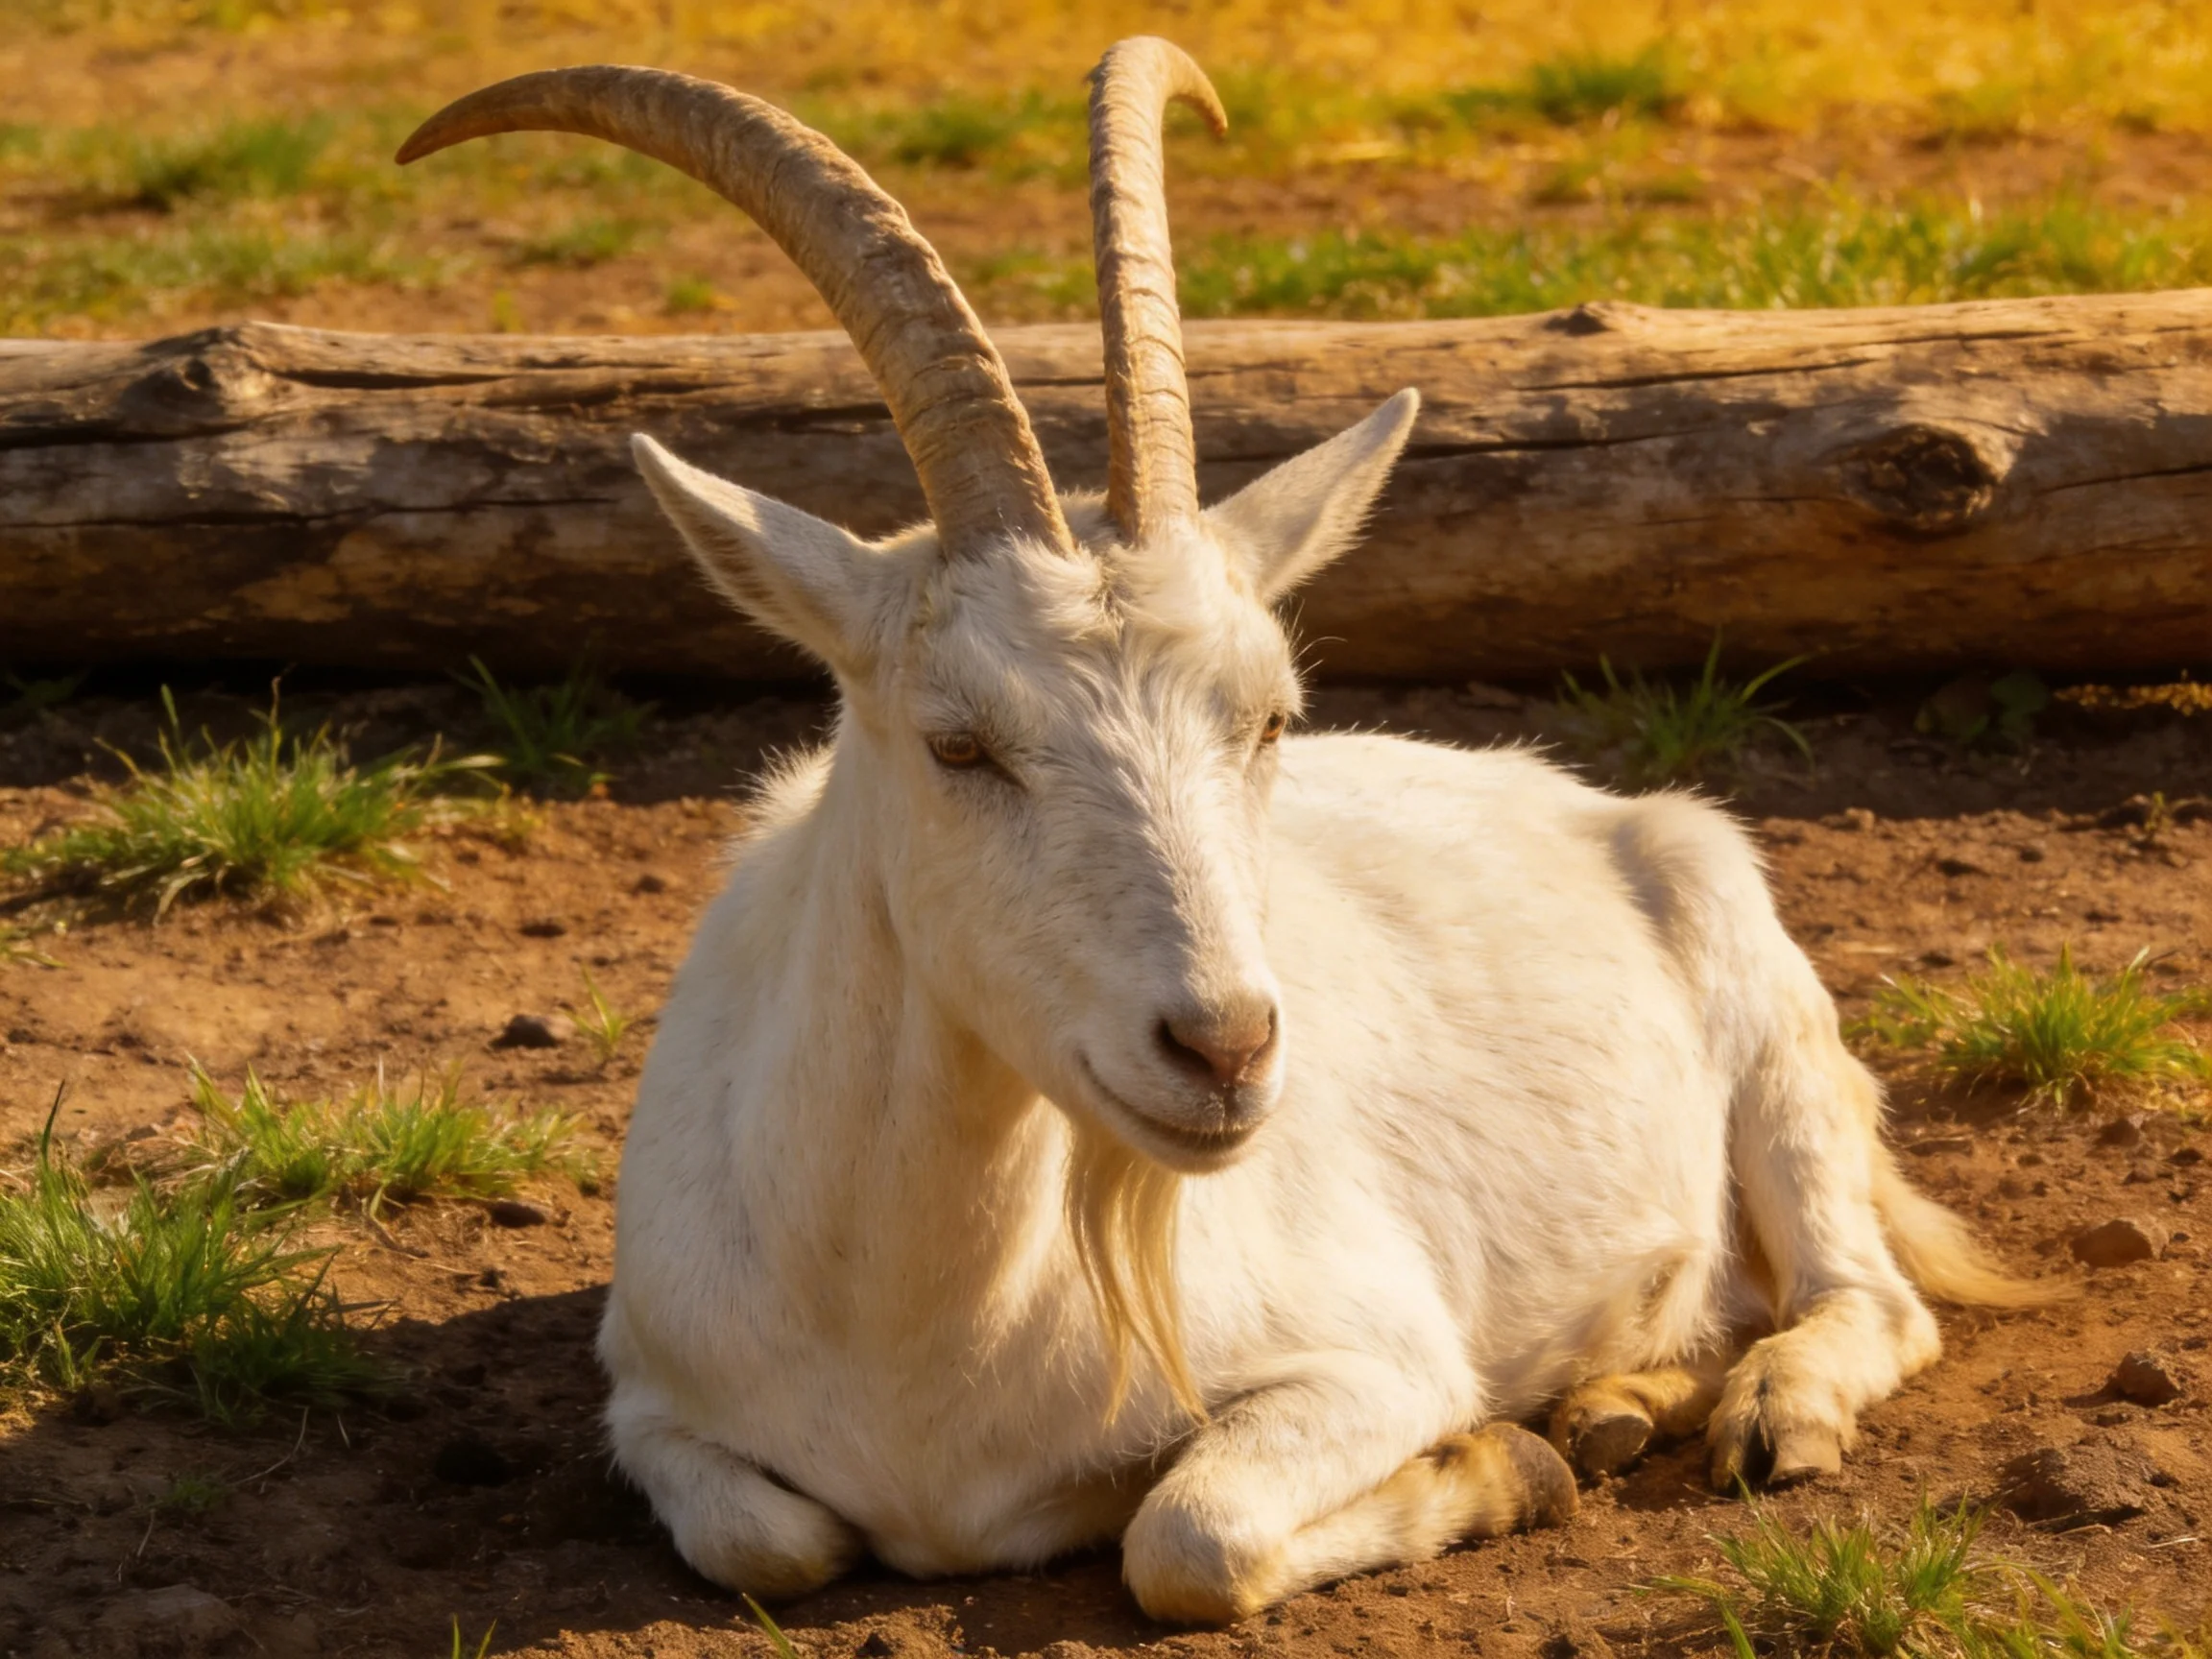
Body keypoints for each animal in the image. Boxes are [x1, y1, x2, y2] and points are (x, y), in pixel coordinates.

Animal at [398, 39, 2057, 1624]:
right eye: (958, 742)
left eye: (1267, 716)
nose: (1227, 1051)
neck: (914, 1338)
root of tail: (1606, 807)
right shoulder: (657, 1404)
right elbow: (770, 1541)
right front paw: (1536, 1448)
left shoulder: (1372, 1358)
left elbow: (1187, 1535)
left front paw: (1497, 1464)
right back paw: (1622, 1402)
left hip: (1772, 1034)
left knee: (1866, 1294)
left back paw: (1749, 1412)